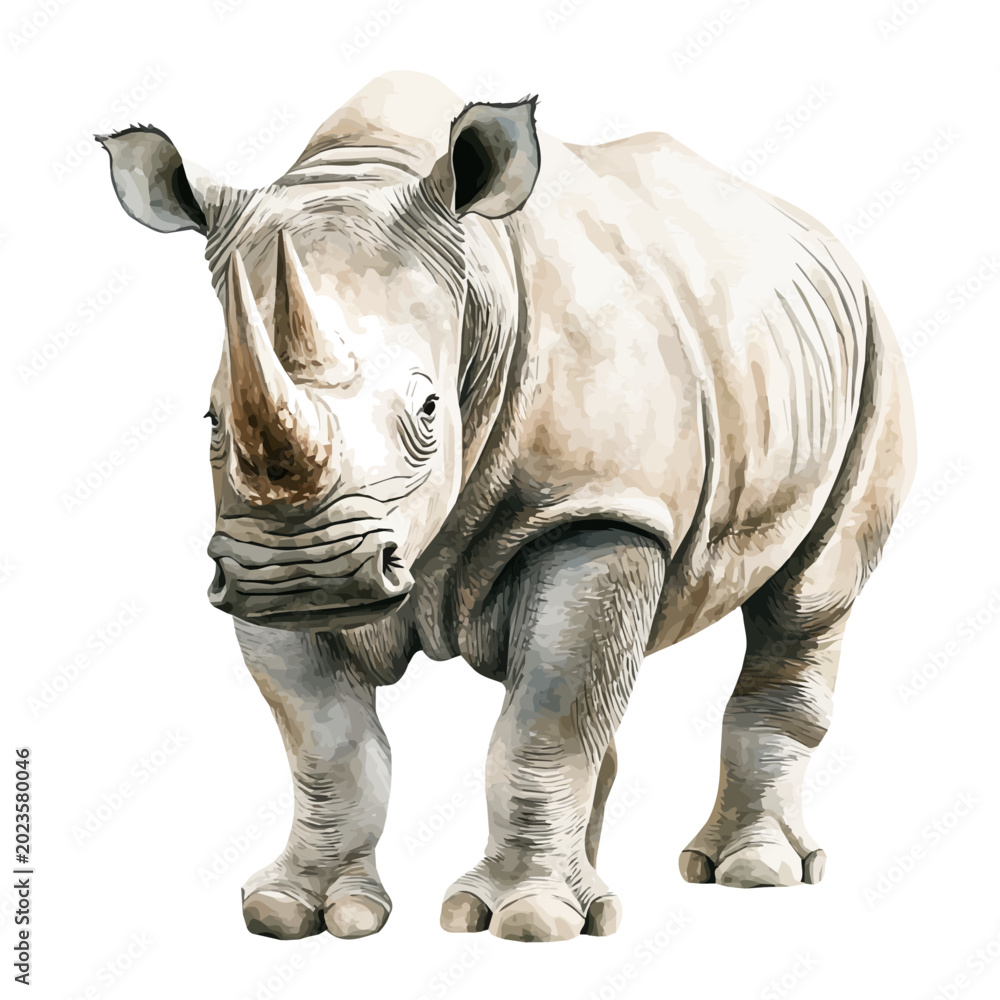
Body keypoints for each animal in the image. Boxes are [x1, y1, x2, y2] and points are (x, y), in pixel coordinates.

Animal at [98, 71, 913, 942]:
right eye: (213, 421)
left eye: (429, 410)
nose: (305, 575)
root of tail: (822, 237)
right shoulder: (252, 546)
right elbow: (327, 740)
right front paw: (299, 912)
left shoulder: (599, 508)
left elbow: (545, 723)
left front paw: (525, 922)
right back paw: (607, 889)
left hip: (875, 352)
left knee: (808, 600)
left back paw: (749, 874)